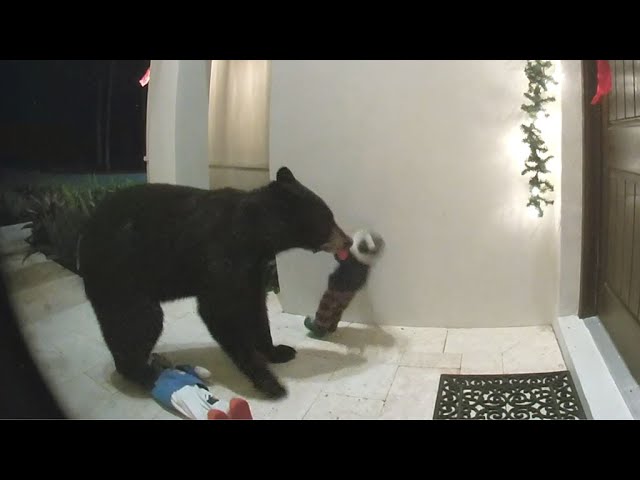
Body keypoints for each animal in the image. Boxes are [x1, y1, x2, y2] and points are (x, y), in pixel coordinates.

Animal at [79, 167, 352, 399]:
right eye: (328, 219)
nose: (349, 240)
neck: (253, 234)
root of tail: (84, 237)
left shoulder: (253, 271)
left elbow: (256, 309)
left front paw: (278, 351)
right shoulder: (220, 258)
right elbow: (219, 312)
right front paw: (269, 382)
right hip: (120, 278)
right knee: (138, 323)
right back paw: (147, 373)